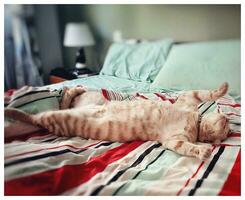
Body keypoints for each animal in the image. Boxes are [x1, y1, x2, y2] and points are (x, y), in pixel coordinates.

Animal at [4, 82, 230, 160]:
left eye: (227, 132)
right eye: (227, 126)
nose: (228, 119)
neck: (195, 122)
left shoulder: (174, 141)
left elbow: (188, 147)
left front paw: (202, 150)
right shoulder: (188, 98)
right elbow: (207, 93)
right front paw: (222, 89)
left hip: (60, 119)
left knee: (52, 110)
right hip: (84, 104)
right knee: (61, 102)